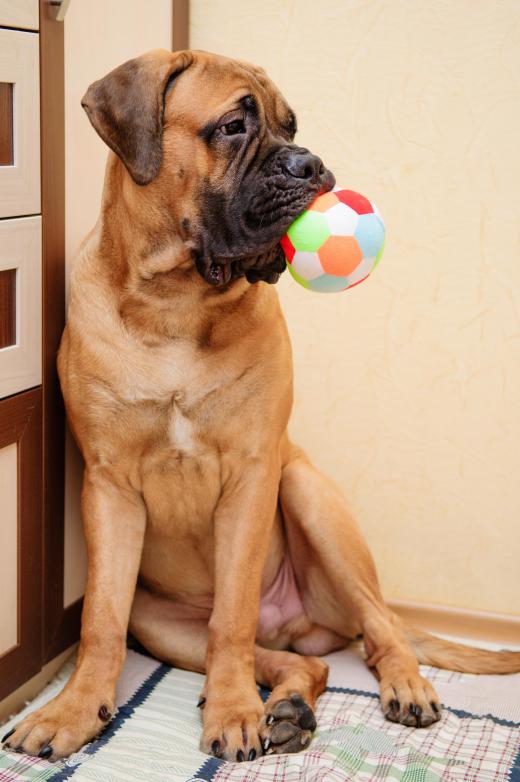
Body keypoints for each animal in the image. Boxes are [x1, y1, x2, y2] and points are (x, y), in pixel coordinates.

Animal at [5, 49, 520, 764]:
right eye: (232, 126)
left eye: (290, 126)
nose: (311, 164)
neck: (175, 303)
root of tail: (300, 625)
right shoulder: (109, 489)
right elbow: (99, 618)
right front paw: (75, 709)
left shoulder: (254, 476)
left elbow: (233, 617)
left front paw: (230, 710)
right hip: (161, 624)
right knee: (303, 662)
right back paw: (287, 709)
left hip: (308, 494)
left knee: (375, 627)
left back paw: (398, 688)